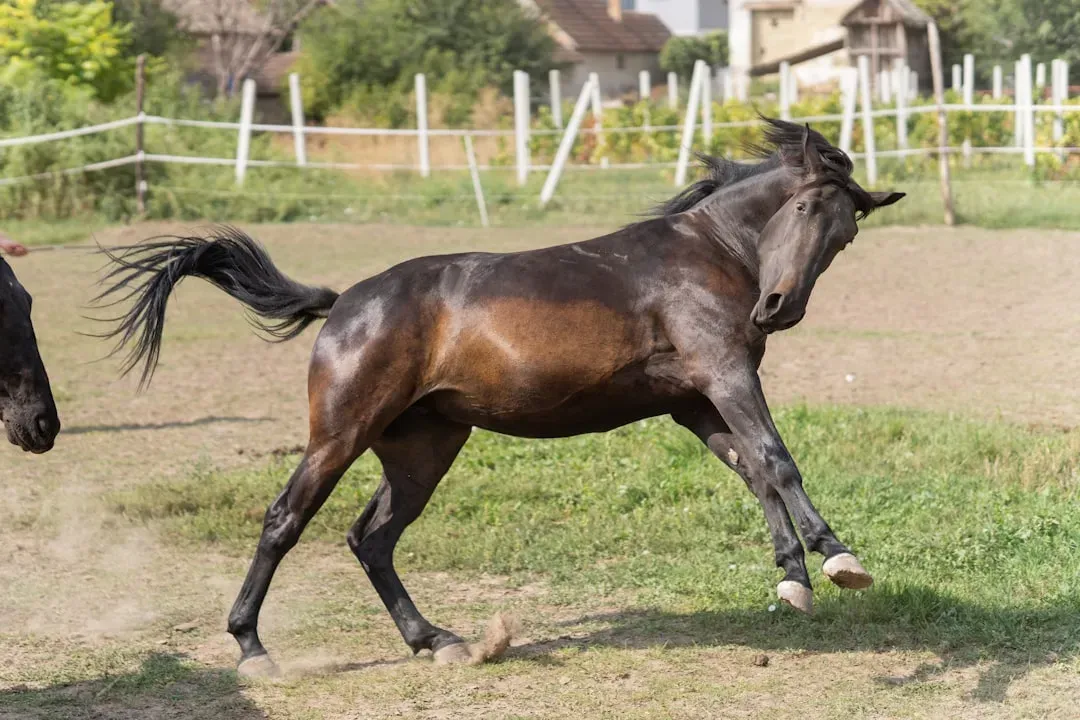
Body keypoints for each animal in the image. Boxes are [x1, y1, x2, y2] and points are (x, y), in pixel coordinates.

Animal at [96, 118, 904, 676]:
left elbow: (757, 470)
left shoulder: (697, 399)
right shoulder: (726, 373)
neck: (704, 255)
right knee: (284, 521)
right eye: (802, 210)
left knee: (370, 538)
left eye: (845, 234)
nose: (778, 307)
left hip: (422, 448)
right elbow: (777, 459)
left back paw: (437, 641)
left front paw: (794, 577)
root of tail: (345, 302)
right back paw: (253, 650)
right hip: (340, 434)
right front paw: (838, 560)